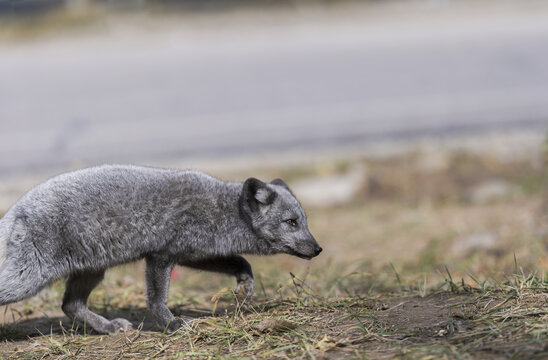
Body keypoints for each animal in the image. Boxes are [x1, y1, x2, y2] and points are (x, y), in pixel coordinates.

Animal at [0, 166, 322, 334]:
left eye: (304, 221)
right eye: (291, 222)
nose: (318, 249)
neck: (223, 210)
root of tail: (16, 208)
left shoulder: (192, 253)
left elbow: (242, 262)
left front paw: (244, 291)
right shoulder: (161, 256)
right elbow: (156, 301)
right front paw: (172, 324)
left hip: (92, 271)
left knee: (70, 306)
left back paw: (109, 327)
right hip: (27, 279)